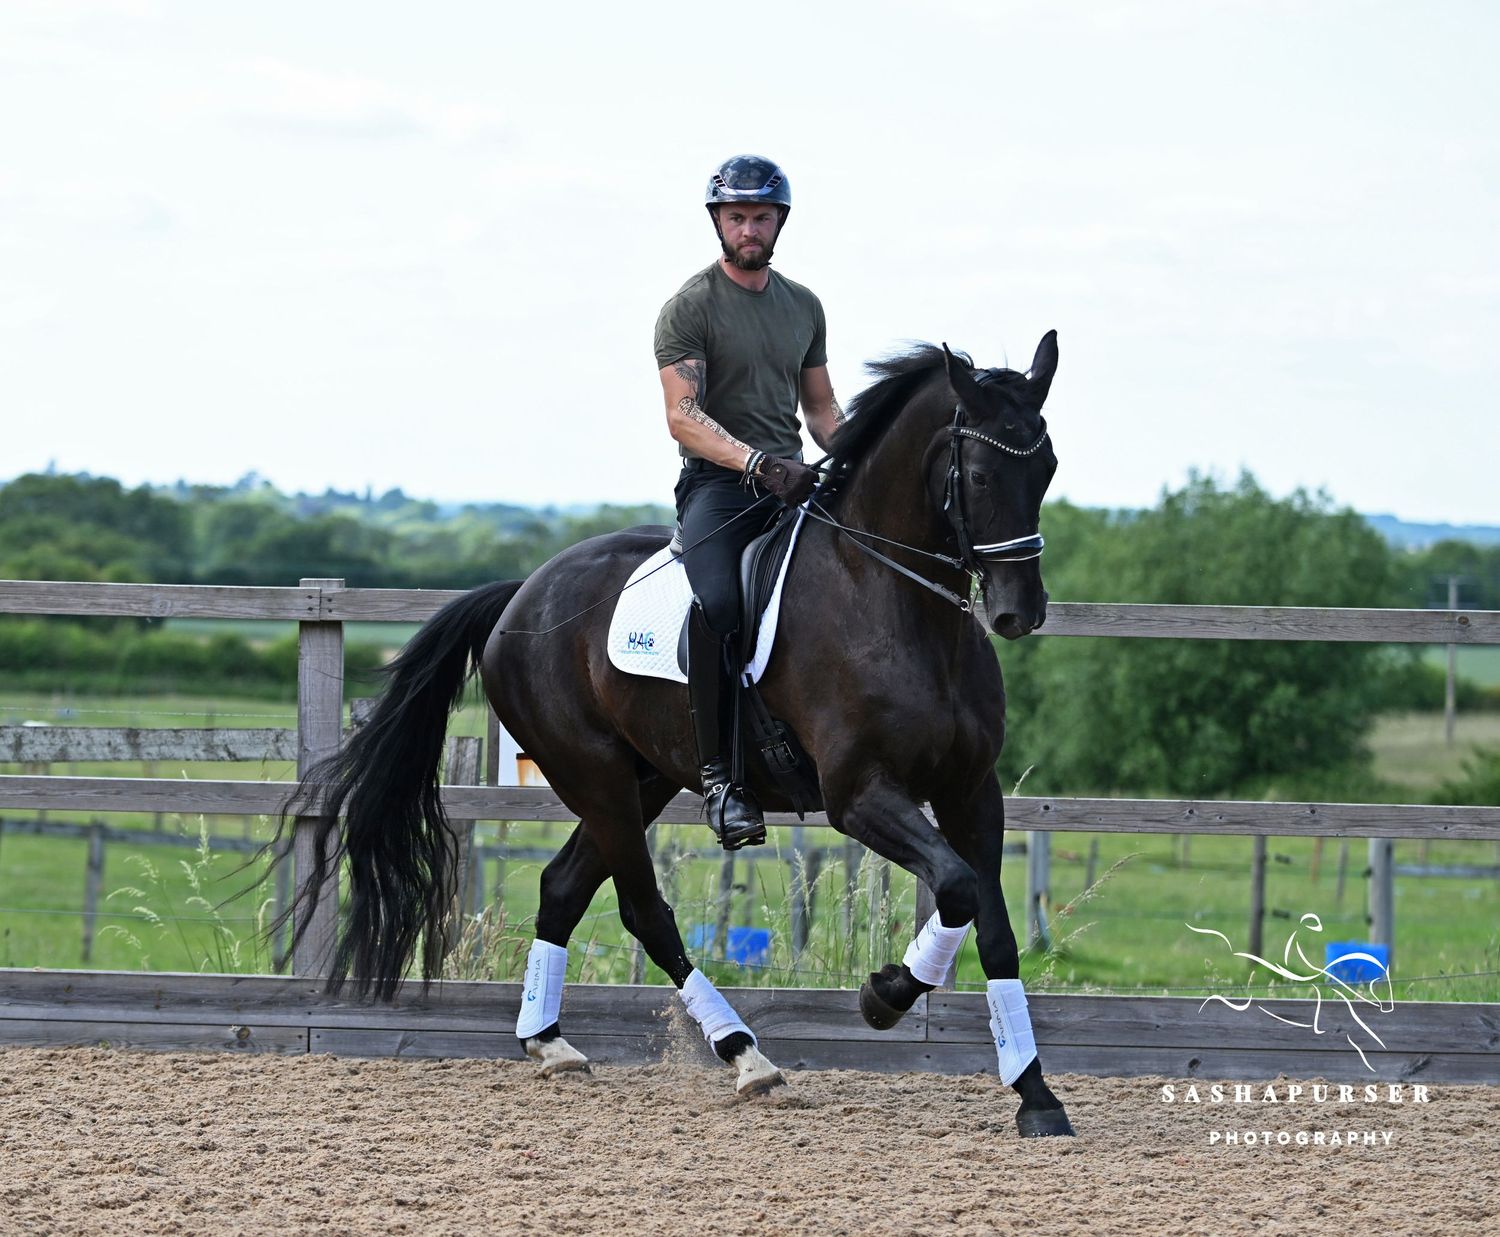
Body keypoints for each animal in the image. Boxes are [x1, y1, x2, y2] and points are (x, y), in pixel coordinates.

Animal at [282, 331, 1075, 1138]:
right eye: (980, 473)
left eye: (1046, 467)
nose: (1018, 612)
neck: (891, 602)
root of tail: (519, 599)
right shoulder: (859, 796)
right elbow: (955, 886)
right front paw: (884, 994)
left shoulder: (972, 792)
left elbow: (991, 923)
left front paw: (1036, 1095)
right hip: (597, 777)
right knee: (643, 912)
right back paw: (744, 1055)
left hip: (648, 777)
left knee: (562, 886)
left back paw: (550, 1042)